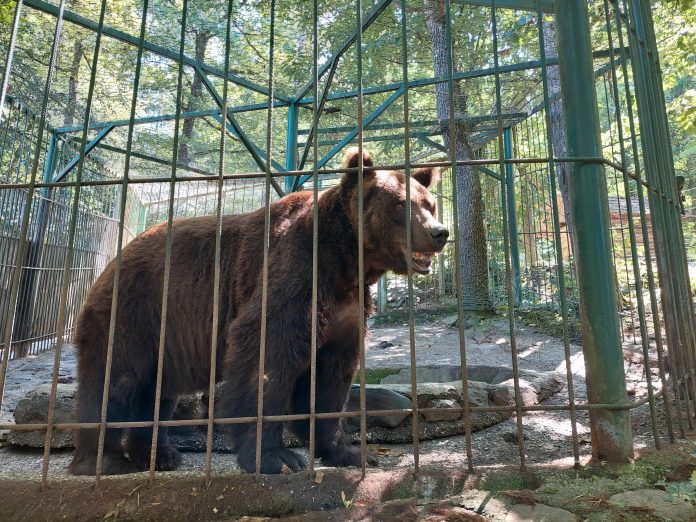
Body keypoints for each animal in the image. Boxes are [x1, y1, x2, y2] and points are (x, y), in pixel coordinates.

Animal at [68, 147, 449, 475]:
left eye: (430, 203)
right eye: (401, 204)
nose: (439, 232)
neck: (345, 262)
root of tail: (112, 260)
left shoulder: (346, 309)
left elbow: (331, 378)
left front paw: (350, 451)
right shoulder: (293, 273)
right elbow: (267, 356)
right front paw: (276, 457)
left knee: (157, 392)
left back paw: (160, 454)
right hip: (133, 311)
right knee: (115, 381)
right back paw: (104, 460)